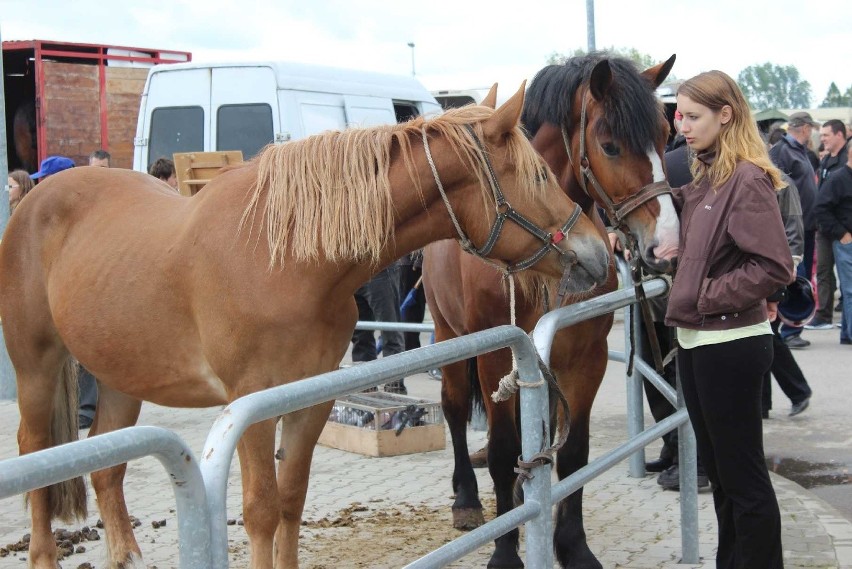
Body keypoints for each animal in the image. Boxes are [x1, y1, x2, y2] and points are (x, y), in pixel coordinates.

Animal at [0, 83, 612, 568]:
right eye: (538, 174)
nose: (600, 254)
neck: (289, 255)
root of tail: (35, 199)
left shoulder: (309, 399)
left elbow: (291, 498)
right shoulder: (250, 404)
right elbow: (261, 510)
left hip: (123, 375)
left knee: (105, 466)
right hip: (36, 365)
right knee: (35, 449)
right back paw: (43, 556)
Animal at [426, 53, 680, 568]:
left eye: (666, 136)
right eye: (609, 145)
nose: (666, 244)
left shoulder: (584, 358)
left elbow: (573, 452)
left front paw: (572, 546)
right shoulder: (497, 357)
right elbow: (502, 451)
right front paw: (505, 551)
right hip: (448, 336)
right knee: (455, 410)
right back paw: (466, 499)